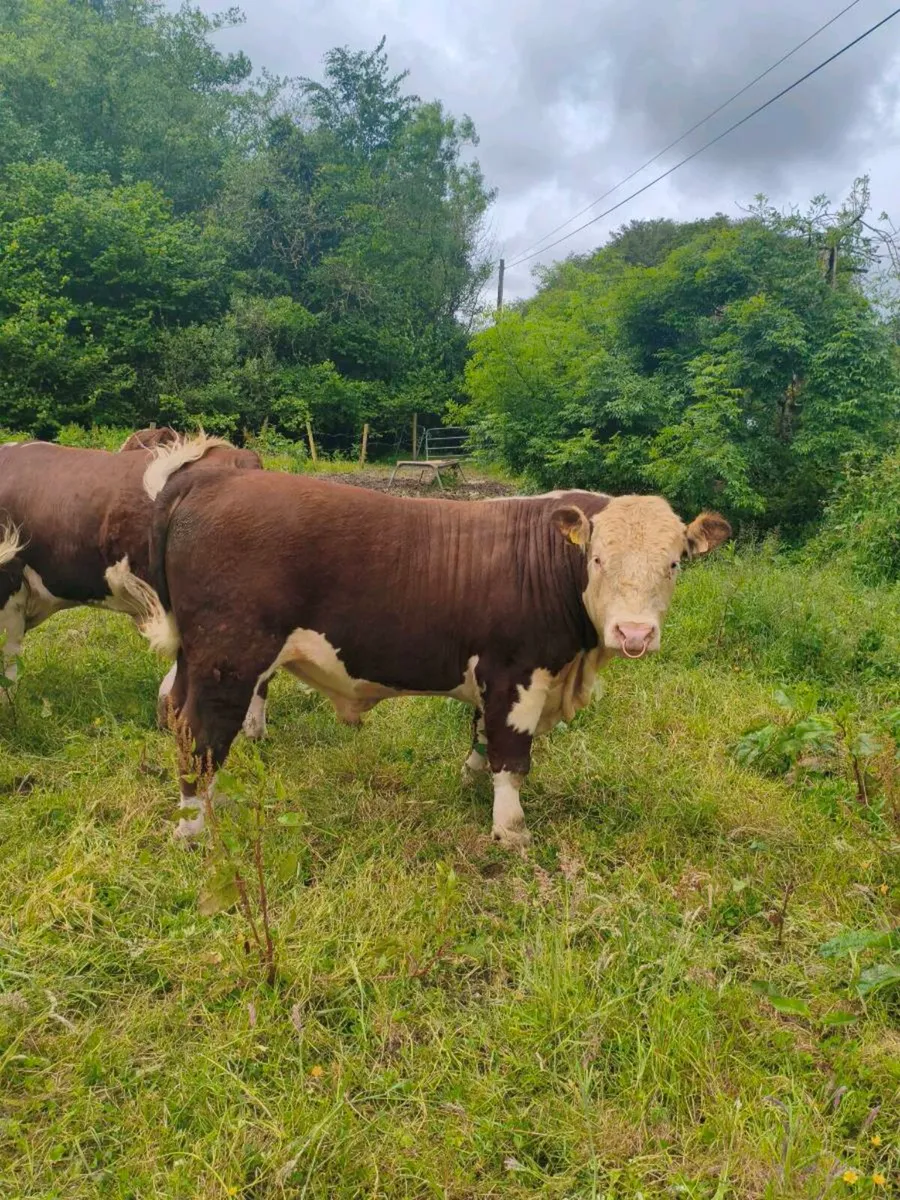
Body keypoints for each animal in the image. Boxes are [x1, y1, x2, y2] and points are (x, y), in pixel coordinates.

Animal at [138, 443, 731, 847]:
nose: (634, 634)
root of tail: (210, 483)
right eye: (599, 558)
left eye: (674, 563)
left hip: (197, 656)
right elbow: (512, 755)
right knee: (201, 733)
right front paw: (511, 831)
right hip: (228, 659)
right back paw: (193, 828)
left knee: (177, 711)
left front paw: (470, 782)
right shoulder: (515, 673)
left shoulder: (493, 677)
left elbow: (482, 739)